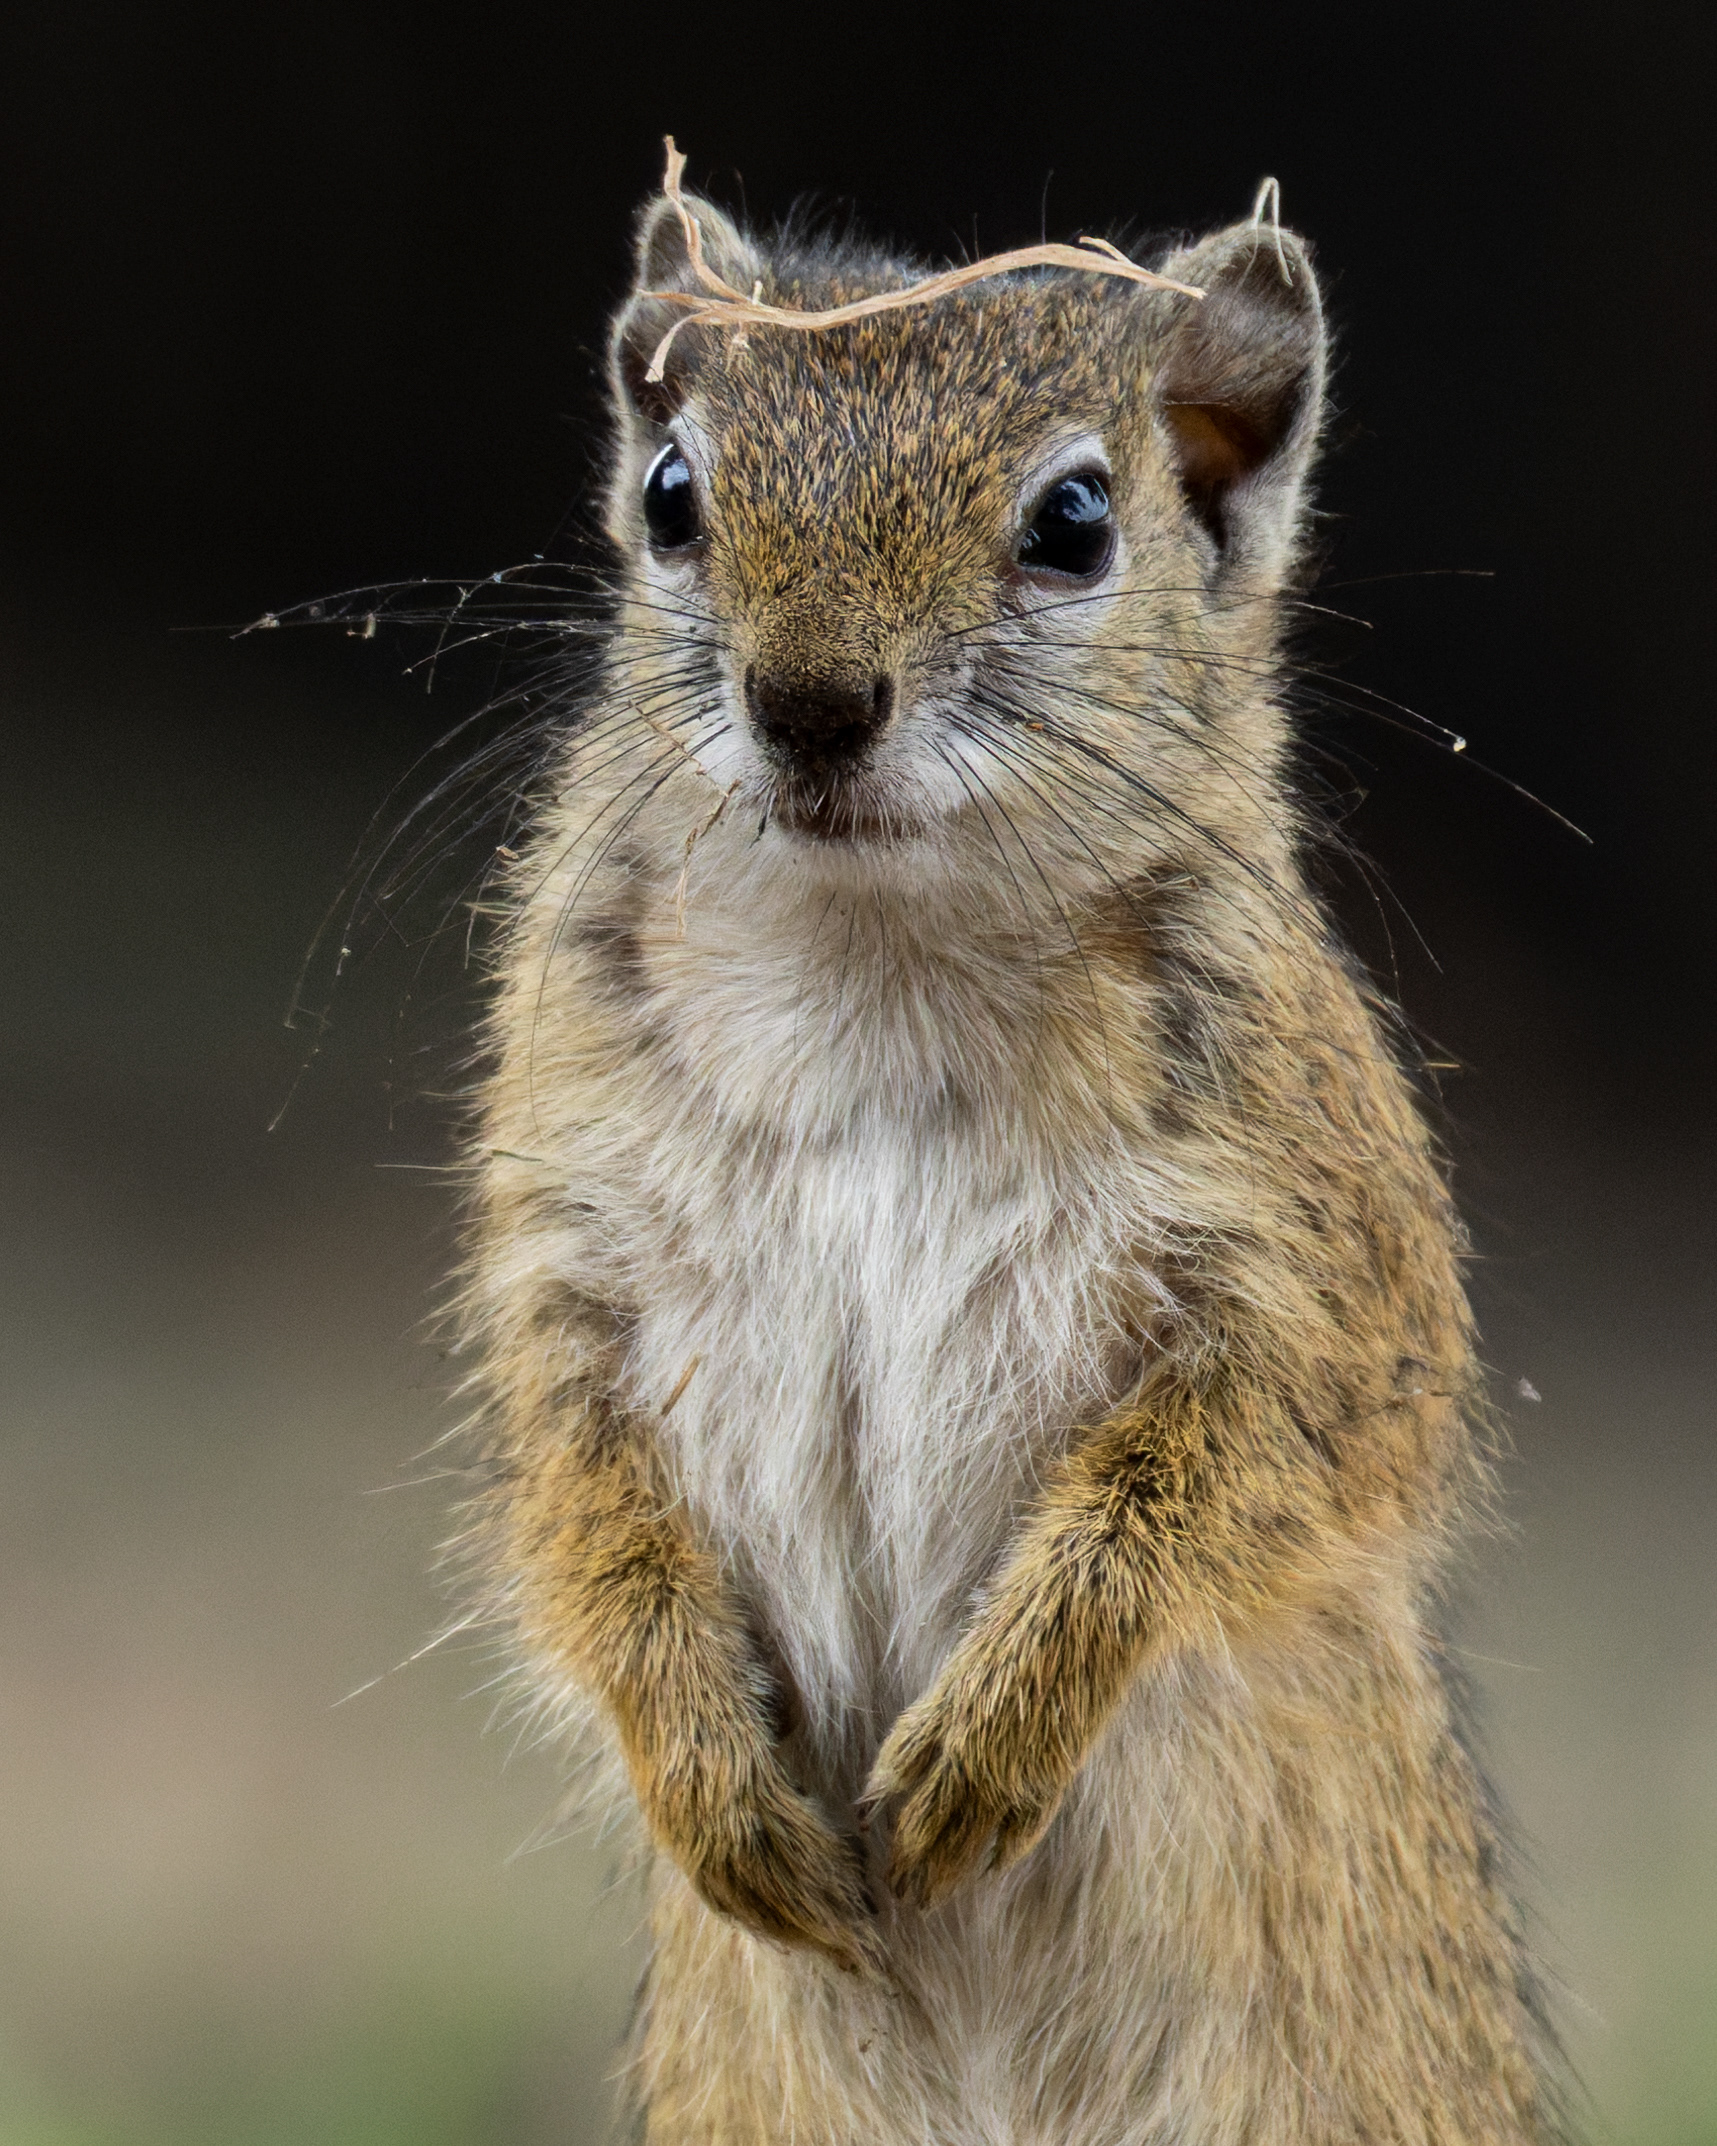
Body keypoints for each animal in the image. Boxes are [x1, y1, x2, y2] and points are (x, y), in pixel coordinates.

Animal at [459, 145, 1564, 2145]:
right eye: (671, 494)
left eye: (1074, 521)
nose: (811, 703)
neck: (873, 960)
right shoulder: (568, 1261)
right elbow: (582, 1512)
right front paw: (716, 1784)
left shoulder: (1316, 1281)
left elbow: (1215, 1488)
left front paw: (981, 1750)